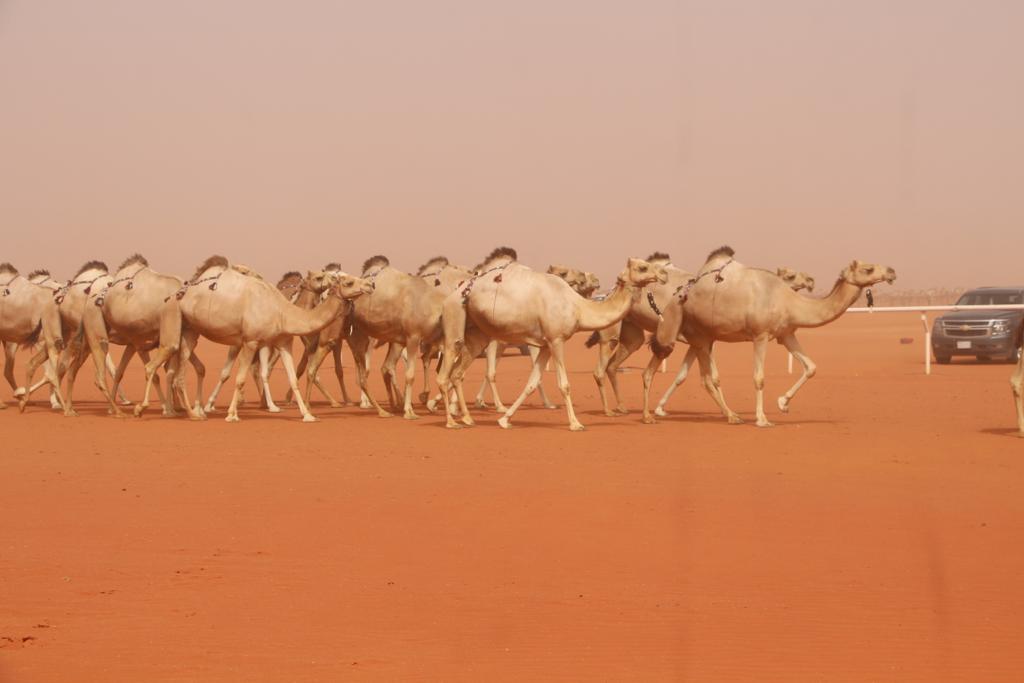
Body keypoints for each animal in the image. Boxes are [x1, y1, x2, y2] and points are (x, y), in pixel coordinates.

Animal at [179, 258, 372, 421]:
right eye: (349, 282)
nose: (370, 284)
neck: (282, 312)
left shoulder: (284, 342)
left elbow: (293, 379)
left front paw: (307, 415)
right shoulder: (250, 341)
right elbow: (240, 378)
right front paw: (232, 414)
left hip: (193, 331)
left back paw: (195, 409)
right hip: (191, 328)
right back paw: (195, 411)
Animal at [434, 248, 663, 430]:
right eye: (643, 267)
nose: (662, 276)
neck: (578, 307)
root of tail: (453, 294)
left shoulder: (544, 345)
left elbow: (532, 382)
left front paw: (505, 420)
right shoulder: (556, 340)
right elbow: (564, 384)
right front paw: (575, 423)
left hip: (477, 333)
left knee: (458, 374)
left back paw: (467, 418)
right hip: (455, 317)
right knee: (445, 374)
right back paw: (451, 421)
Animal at [647, 245, 897, 428]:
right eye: (868, 269)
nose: (892, 271)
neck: (788, 301)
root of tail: (681, 294)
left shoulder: (786, 334)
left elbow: (811, 367)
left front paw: (783, 403)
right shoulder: (761, 335)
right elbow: (759, 377)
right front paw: (762, 419)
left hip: (706, 337)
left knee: (705, 378)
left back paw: (731, 415)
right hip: (699, 334)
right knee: (708, 377)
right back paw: (729, 415)